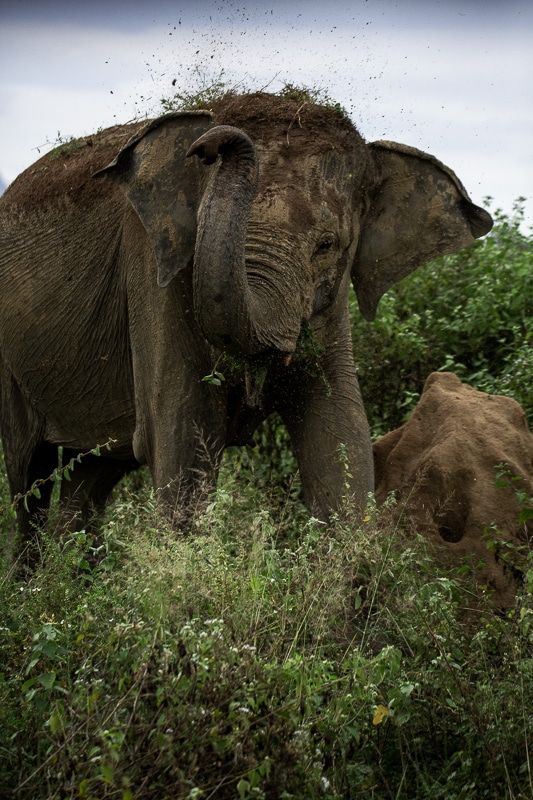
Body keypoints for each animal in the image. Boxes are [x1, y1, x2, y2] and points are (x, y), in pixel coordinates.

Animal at [0, 92, 492, 560]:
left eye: (327, 246)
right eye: (199, 224)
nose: (208, 144)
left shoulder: (331, 307)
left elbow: (339, 426)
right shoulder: (152, 273)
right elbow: (182, 434)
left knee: (91, 473)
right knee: (28, 477)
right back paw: (37, 583)